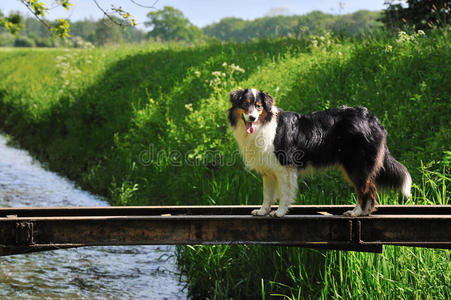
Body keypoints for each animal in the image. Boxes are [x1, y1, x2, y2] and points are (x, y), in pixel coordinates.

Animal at [228, 88, 412, 217]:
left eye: (258, 106)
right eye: (245, 104)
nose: (252, 118)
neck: (264, 124)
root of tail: (372, 118)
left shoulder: (284, 167)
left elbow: (285, 193)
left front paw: (279, 212)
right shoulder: (268, 171)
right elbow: (267, 194)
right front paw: (262, 211)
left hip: (355, 165)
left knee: (365, 190)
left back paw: (357, 212)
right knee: (368, 189)